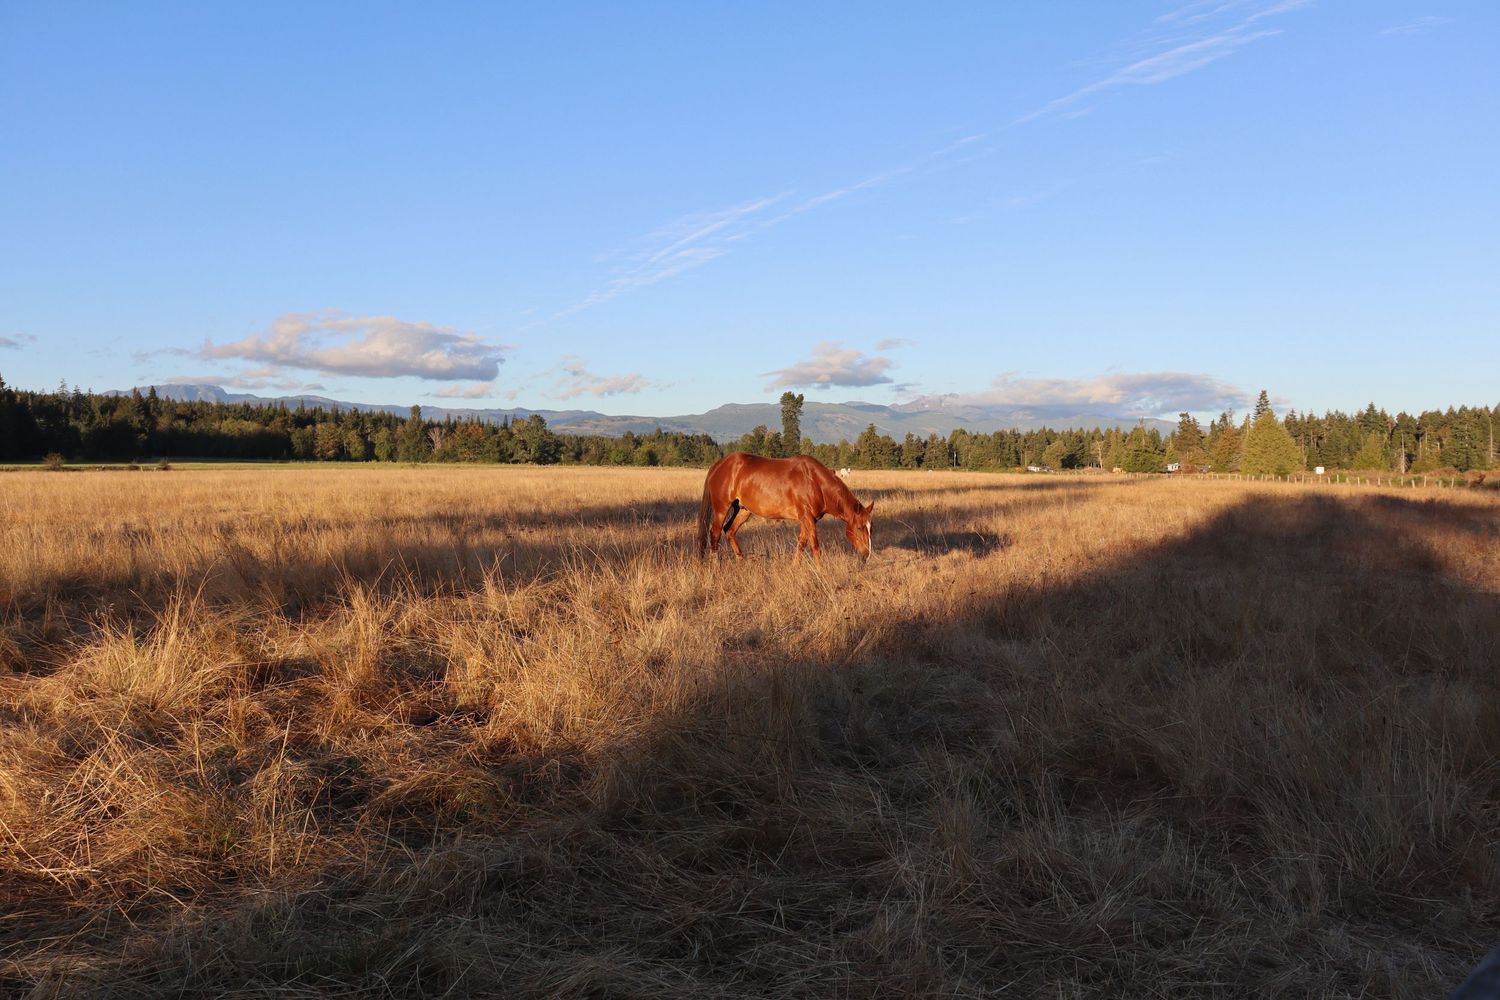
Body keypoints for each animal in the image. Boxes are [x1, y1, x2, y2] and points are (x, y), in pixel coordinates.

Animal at [697, 452, 875, 562]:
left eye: (870, 529)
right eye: (859, 528)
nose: (866, 555)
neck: (815, 481)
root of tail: (718, 465)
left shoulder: (808, 520)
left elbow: (801, 545)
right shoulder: (807, 519)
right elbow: (815, 547)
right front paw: (822, 573)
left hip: (743, 510)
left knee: (729, 531)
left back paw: (742, 562)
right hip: (722, 509)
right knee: (715, 534)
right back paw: (716, 567)